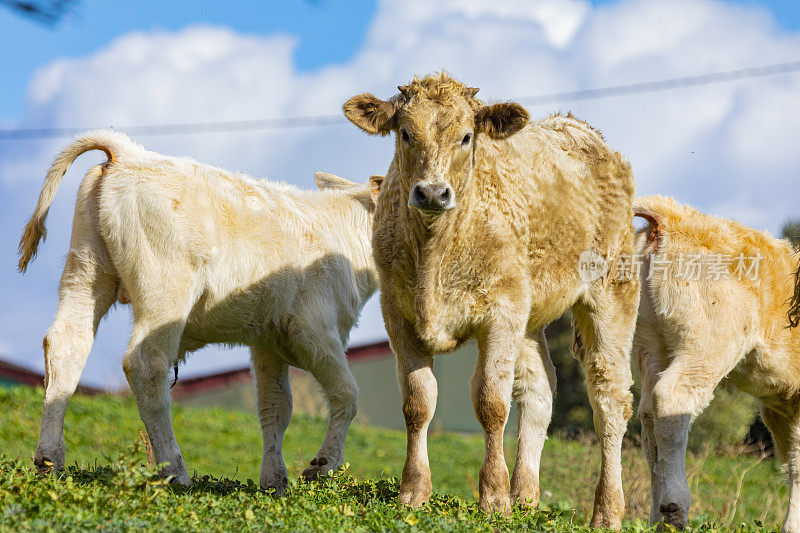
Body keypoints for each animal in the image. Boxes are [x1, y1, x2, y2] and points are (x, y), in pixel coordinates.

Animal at [18, 130, 382, 494]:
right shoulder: (314, 328)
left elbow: (275, 408)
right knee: (146, 365)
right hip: (164, 290)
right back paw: (175, 472)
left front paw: (274, 482)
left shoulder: (267, 340)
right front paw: (323, 465)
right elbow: (347, 394)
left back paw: (49, 461)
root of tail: (130, 154)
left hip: (86, 269)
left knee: (67, 345)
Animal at [344, 74, 636, 528]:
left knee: (609, 399)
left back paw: (606, 512)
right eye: (405, 133)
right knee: (539, 390)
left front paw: (494, 497)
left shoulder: (500, 314)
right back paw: (526, 497)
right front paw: (414, 492)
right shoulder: (398, 314)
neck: (436, 251)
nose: (432, 193)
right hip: (529, 315)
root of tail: (579, 127)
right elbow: (417, 402)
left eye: (467, 136)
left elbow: (491, 402)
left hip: (609, 293)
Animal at [632, 196, 800, 532]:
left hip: (651, 345)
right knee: (673, 397)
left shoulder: (781, 405)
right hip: (709, 343)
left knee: (648, 416)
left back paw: (656, 516)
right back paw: (674, 507)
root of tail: (675, 216)